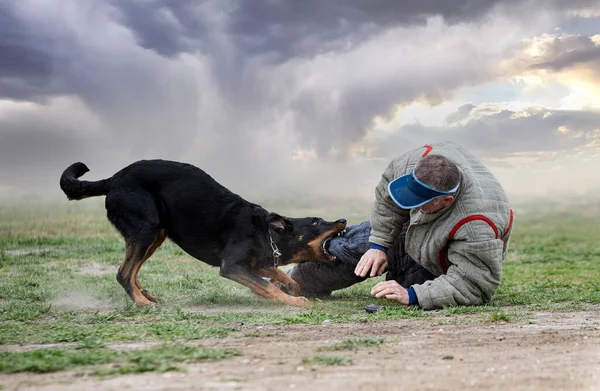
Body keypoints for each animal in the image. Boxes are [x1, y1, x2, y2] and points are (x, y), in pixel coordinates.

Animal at [59, 161, 346, 308]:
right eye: (317, 221)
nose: (343, 220)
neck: (268, 234)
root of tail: (114, 179)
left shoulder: (256, 263)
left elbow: (277, 275)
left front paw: (294, 288)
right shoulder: (232, 267)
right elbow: (266, 286)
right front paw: (295, 301)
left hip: (157, 234)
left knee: (132, 271)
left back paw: (148, 295)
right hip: (146, 229)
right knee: (123, 273)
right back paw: (142, 302)